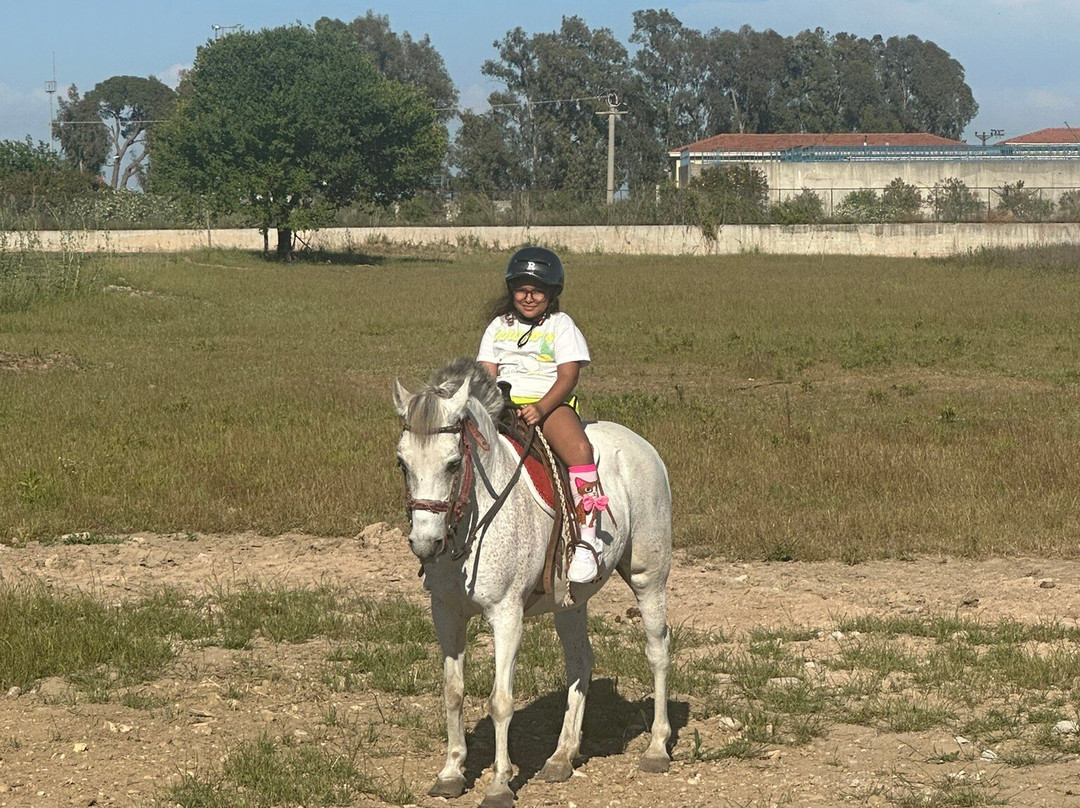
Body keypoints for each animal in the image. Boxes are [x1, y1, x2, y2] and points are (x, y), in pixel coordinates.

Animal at [392, 358, 673, 808]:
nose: (425, 543)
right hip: (571, 601)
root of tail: (640, 444)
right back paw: (561, 756)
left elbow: (500, 700)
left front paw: (499, 784)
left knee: (657, 651)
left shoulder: (507, 616)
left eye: (453, 463)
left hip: (650, 577)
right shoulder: (446, 613)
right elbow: (453, 691)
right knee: (580, 661)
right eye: (402, 463)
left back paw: (657, 749)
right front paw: (451, 772)